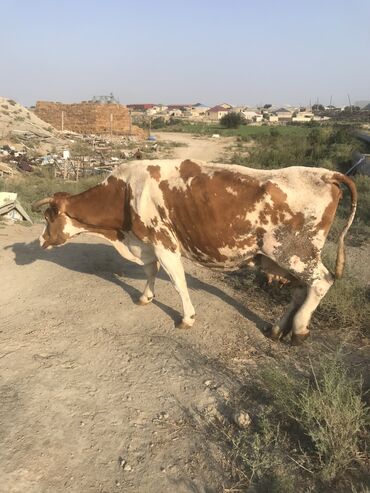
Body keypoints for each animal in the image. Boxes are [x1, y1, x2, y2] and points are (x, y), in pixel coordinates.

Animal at [33, 160, 356, 344]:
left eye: (48, 216)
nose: (40, 241)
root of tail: (325, 174)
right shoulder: (147, 242)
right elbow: (150, 271)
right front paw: (146, 297)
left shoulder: (164, 242)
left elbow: (178, 281)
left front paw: (187, 317)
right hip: (291, 257)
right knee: (301, 290)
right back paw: (277, 329)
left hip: (294, 252)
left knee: (321, 282)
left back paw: (299, 331)